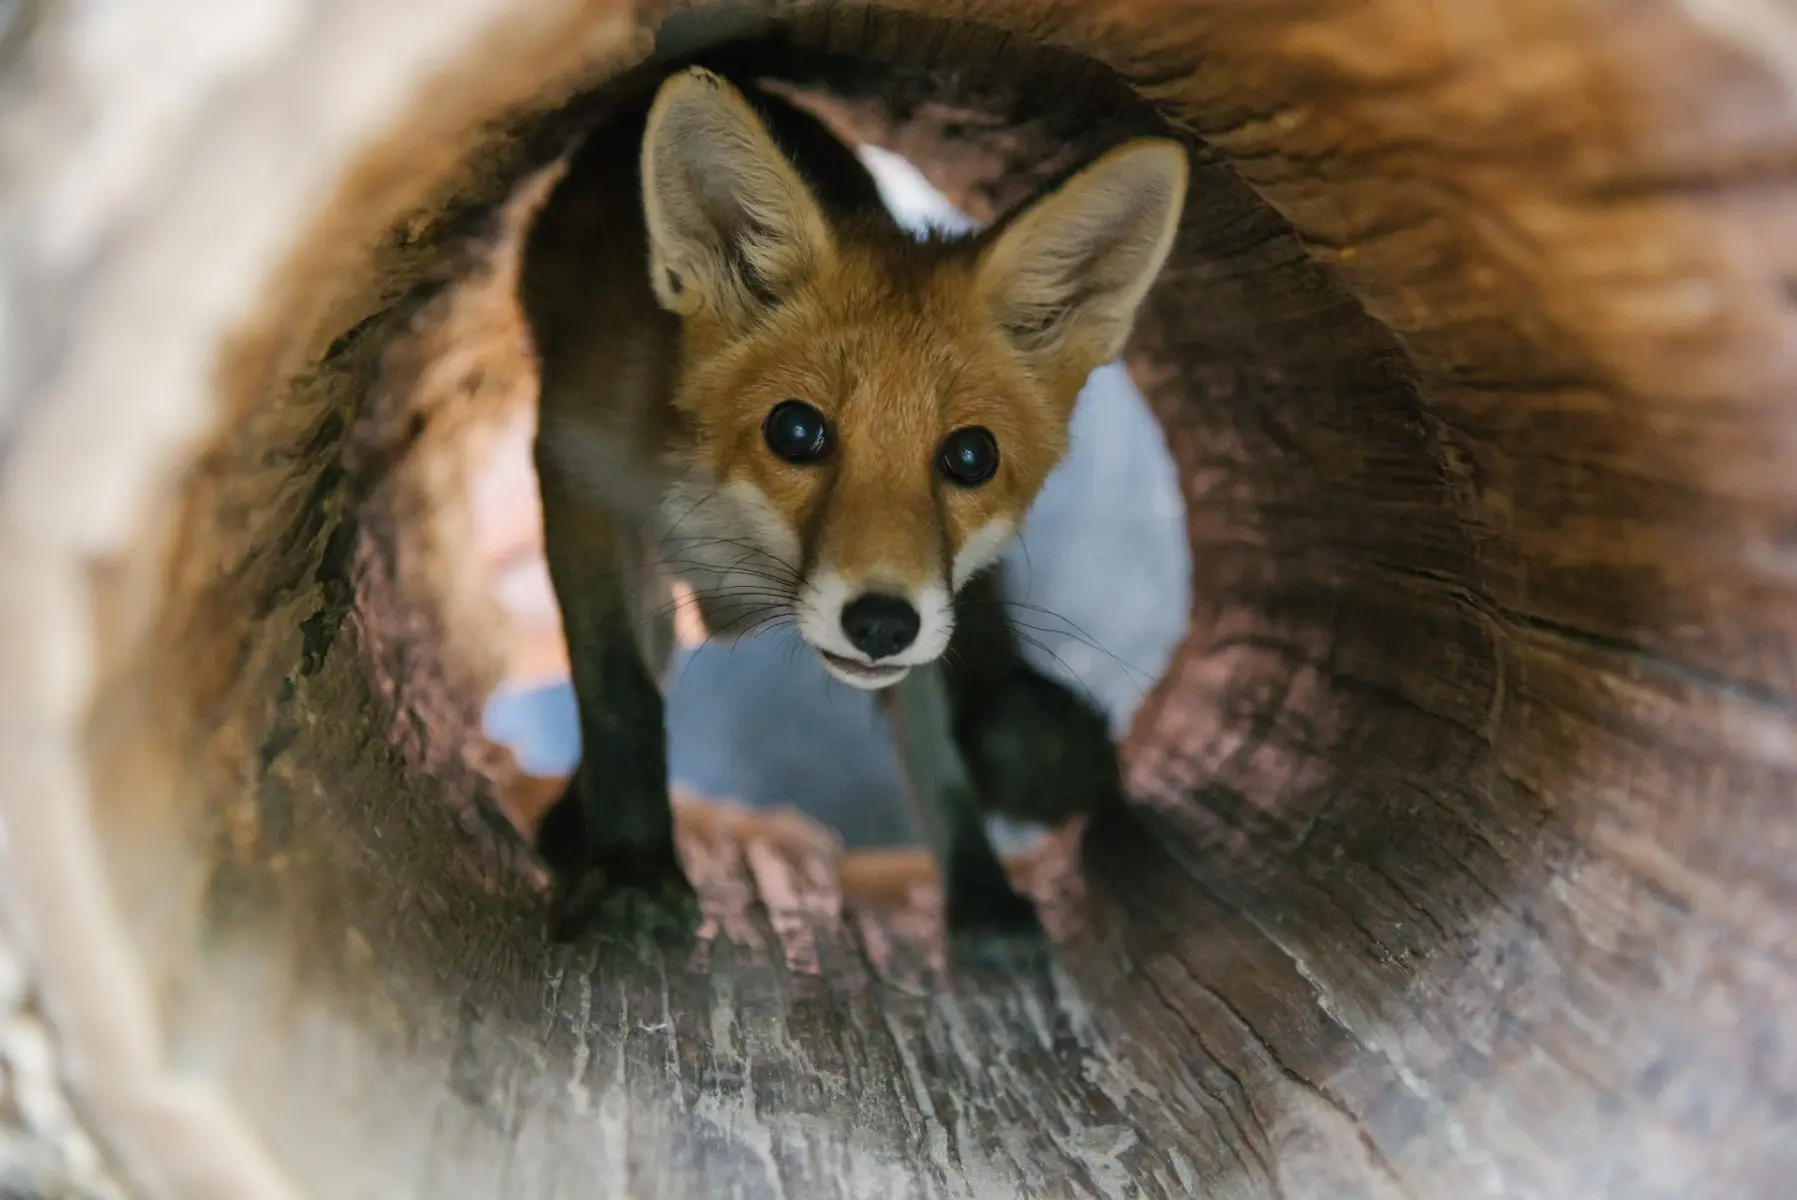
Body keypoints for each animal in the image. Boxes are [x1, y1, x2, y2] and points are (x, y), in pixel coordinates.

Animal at [517, 65, 1188, 949]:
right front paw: (632, 866)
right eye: (795, 430)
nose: (879, 623)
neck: (720, 526)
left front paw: (982, 904)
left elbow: (936, 753)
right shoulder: (575, 468)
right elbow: (620, 695)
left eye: (970, 456)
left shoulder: (931, 609)